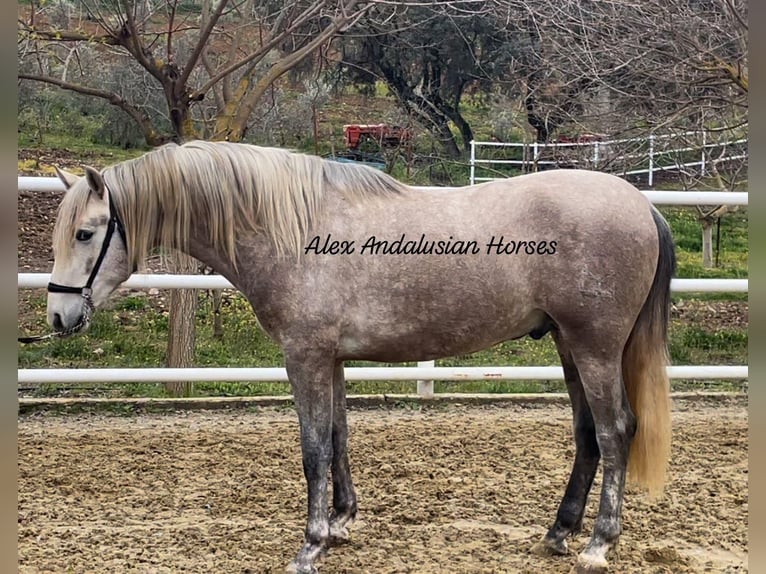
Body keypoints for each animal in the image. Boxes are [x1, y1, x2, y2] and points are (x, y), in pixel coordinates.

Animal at [46, 141, 680, 574]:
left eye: (85, 233)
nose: (58, 316)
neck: (289, 227)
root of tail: (642, 205)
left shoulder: (304, 356)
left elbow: (313, 451)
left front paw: (311, 544)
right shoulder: (331, 358)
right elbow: (339, 437)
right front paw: (341, 523)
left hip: (595, 347)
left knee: (616, 431)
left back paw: (598, 544)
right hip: (569, 345)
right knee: (587, 435)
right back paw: (559, 532)